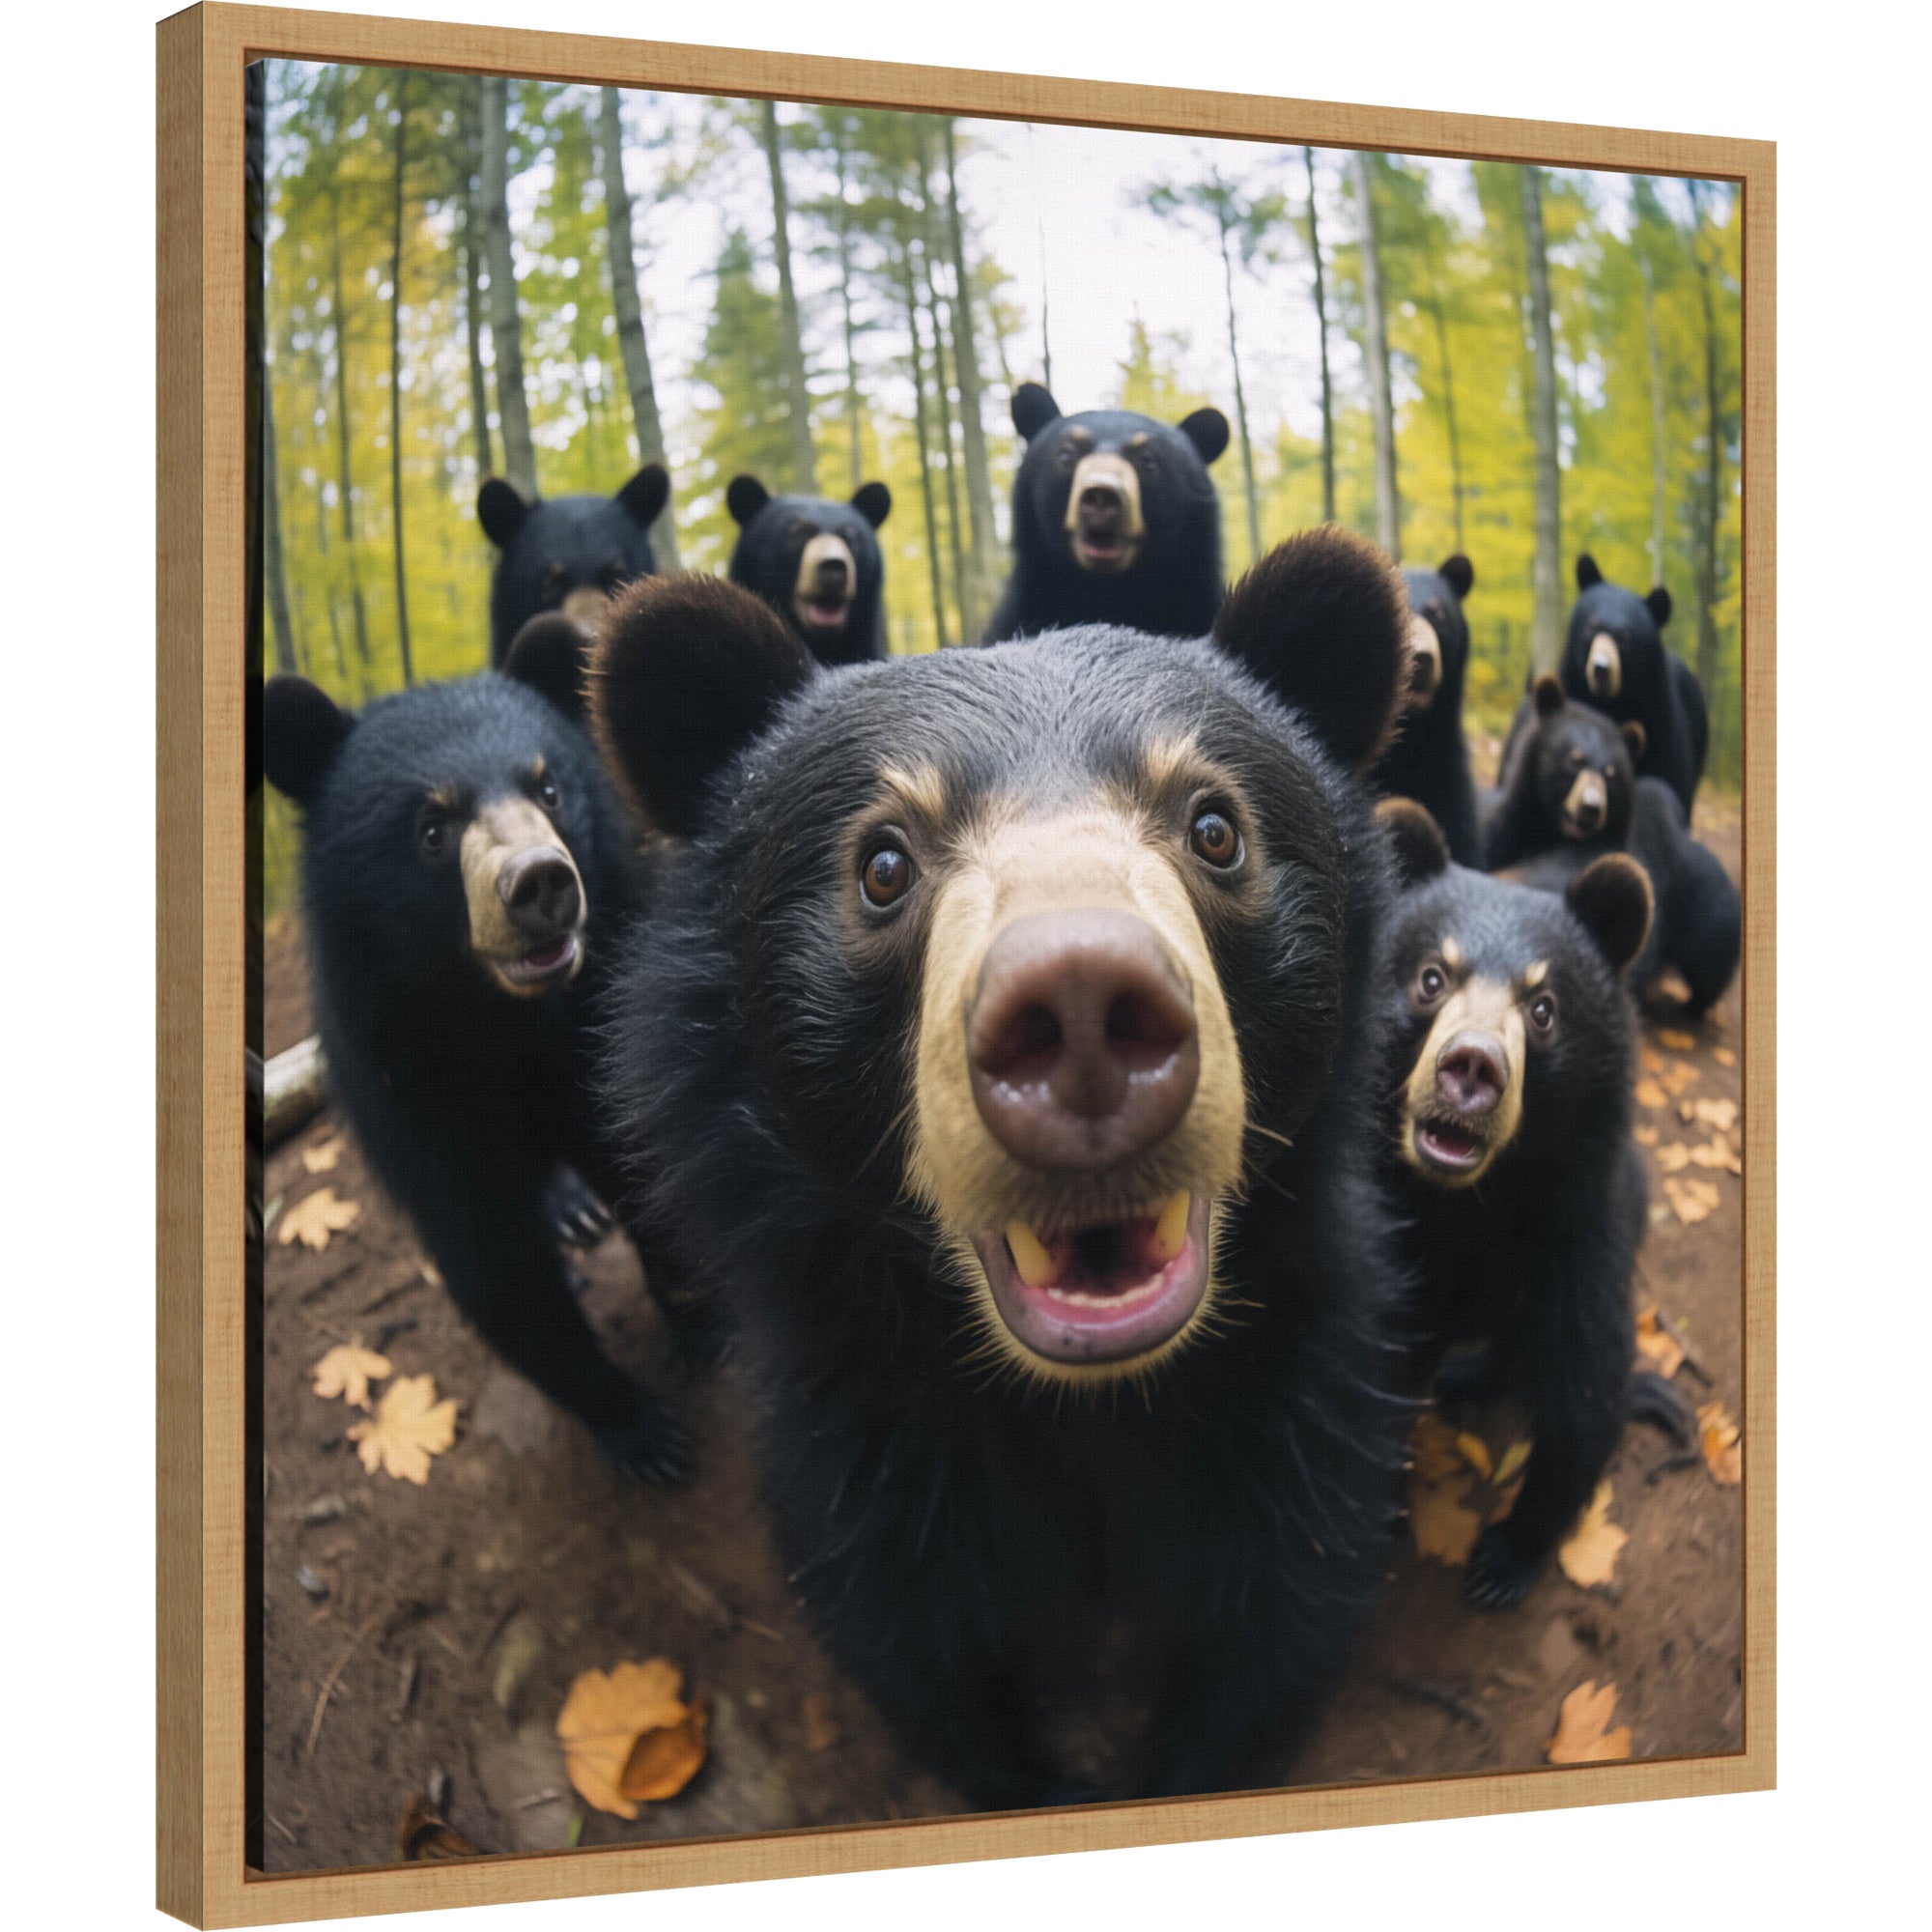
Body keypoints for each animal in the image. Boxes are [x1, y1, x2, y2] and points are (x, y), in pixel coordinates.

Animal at [261, 614, 708, 1480]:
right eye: (432, 828)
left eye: (547, 788)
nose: (541, 885)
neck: (508, 1023)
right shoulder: (402, 1071)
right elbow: (487, 1252)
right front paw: (639, 1431)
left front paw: (702, 1331)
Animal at [584, 529, 1419, 1809]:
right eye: (882, 862)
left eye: (1212, 827)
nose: (1078, 1006)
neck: (1080, 1406)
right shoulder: (863, 1426)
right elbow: (923, 1648)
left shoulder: (1297, 1393)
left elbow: (1273, 1619)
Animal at [1375, 797, 1654, 1609]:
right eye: (1432, 977)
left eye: (1543, 1008)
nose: (1471, 1068)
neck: (1471, 1203)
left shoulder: (1577, 1224)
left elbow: (1586, 1385)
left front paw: (1504, 1559)